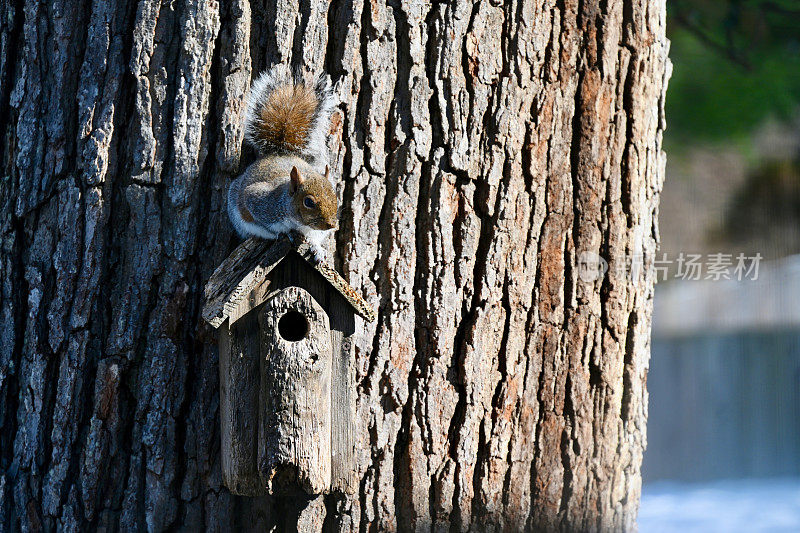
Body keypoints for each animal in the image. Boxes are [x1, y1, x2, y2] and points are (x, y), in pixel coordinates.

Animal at [228, 66, 338, 262]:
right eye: (308, 202)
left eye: (335, 195)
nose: (332, 224)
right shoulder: (259, 202)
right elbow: (266, 225)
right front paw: (286, 233)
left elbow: (314, 237)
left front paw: (317, 248)